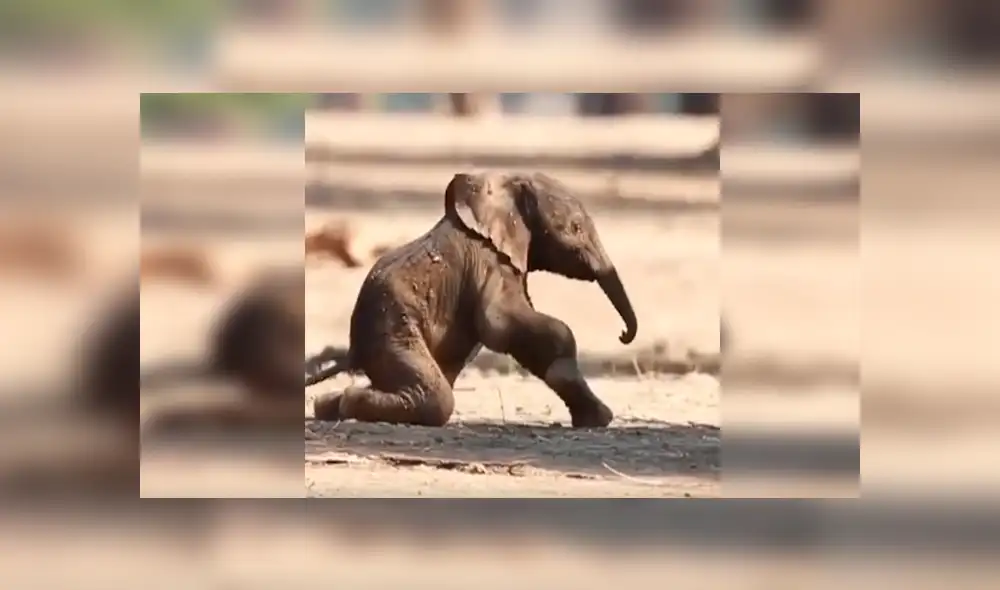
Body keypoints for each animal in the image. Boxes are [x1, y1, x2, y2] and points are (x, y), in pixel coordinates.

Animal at [306, 171, 638, 428]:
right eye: (575, 228)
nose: (623, 334)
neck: (505, 185)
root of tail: (354, 349)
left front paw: (598, 419)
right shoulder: (488, 261)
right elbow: (502, 324)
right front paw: (599, 419)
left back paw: (329, 405)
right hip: (392, 325)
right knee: (437, 397)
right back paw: (348, 403)